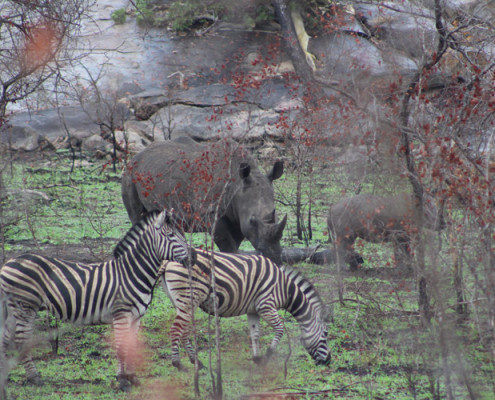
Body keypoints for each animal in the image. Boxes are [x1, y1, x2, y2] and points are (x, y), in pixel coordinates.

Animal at [0, 209, 197, 394]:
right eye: (171, 236)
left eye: (182, 234)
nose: (193, 257)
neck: (132, 272)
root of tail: (9, 262)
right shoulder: (121, 314)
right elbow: (121, 347)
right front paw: (122, 382)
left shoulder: (136, 317)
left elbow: (132, 347)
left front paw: (133, 378)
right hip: (25, 307)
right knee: (20, 340)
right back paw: (34, 378)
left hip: (12, 309)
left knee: (5, 338)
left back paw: (5, 376)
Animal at [120, 138, 288, 266]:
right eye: (253, 221)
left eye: (276, 216)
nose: (274, 258)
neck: (237, 185)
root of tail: (133, 158)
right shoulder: (212, 214)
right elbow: (228, 247)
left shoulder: (238, 218)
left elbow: (235, 245)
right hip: (130, 175)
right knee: (137, 217)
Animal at [163, 248, 334, 370]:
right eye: (325, 333)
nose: (328, 361)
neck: (285, 289)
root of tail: (167, 262)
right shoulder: (266, 305)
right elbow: (279, 329)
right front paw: (267, 356)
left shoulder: (253, 310)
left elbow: (255, 334)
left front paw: (257, 359)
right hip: (188, 298)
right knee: (175, 329)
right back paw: (178, 363)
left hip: (181, 302)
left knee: (183, 331)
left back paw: (196, 362)